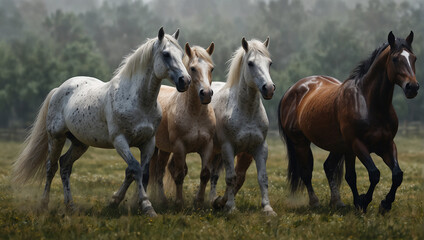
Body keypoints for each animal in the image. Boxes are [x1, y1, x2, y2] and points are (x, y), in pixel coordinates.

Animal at [12, 28, 190, 218]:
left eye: (181, 54)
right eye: (166, 54)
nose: (185, 81)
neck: (138, 101)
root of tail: (58, 90)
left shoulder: (148, 142)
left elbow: (140, 173)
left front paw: (117, 202)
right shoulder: (120, 141)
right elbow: (135, 169)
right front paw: (146, 206)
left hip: (80, 143)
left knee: (65, 165)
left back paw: (71, 206)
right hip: (56, 138)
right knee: (50, 168)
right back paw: (44, 205)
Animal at [148, 41, 215, 206]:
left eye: (211, 68)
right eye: (193, 68)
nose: (206, 94)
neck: (195, 114)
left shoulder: (208, 146)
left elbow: (205, 174)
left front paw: (199, 201)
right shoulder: (179, 148)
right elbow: (179, 174)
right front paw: (179, 202)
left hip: (164, 149)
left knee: (159, 172)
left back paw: (163, 199)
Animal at [210, 37, 276, 216]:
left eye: (269, 63)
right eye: (250, 63)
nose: (269, 89)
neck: (247, 112)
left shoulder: (259, 148)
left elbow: (261, 177)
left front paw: (267, 208)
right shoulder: (228, 148)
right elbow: (231, 178)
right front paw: (231, 207)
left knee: (213, 176)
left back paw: (214, 200)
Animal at [278, 31, 418, 212]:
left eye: (414, 58)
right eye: (395, 59)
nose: (412, 87)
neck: (369, 103)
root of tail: (292, 90)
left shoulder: (386, 144)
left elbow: (397, 175)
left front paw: (384, 204)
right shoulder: (357, 145)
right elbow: (372, 174)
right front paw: (363, 201)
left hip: (337, 147)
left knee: (328, 167)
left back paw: (337, 201)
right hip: (300, 143)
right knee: (306, 173)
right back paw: (315, 202)